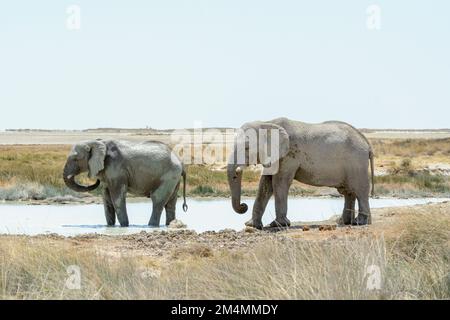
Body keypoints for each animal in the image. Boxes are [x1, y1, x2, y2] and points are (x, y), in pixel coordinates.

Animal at [227, 117, 374, 228]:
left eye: (246, 148)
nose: (243, 206)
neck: (267, 122)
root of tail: (367, 144)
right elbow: (265, 184)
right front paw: (252, 225)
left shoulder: (289, 154)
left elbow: (279, 183)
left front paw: (278, 225)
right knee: (348, 192)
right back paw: (345, 222)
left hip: (357, 162)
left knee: (359, 190)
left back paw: (360, 222)